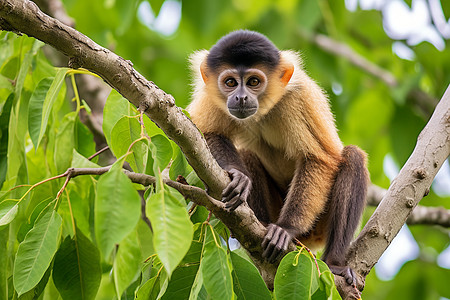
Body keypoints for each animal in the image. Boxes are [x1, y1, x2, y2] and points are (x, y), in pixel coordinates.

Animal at [186, 30, 370, 286]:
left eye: (254, 82)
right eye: (230, 82)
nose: (240, 97)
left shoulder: (300, 97)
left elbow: (319, 158)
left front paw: (286, 228)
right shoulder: (211, 94)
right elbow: (207, 132)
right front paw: (237, 175)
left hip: (317, 227)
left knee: (353, 157)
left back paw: (334, 262)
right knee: (248, 153)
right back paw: (257, 223)